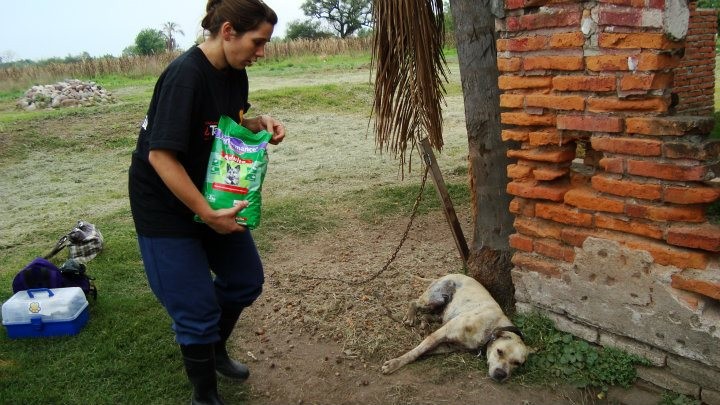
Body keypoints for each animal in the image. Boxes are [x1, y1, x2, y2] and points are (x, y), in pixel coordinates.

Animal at [382, 274, 528, 380]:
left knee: (429, 315)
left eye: (517, 363)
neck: (491, 326)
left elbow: (423, 352)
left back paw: (424, 323)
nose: (501, 375)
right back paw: (410, 317)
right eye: (499, 351)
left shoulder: (448, 346)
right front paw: (395, 363)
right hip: (436, 298)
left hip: (440, 309)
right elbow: (417, 351)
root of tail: (447, 274)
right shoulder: (441, 334)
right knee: (414, 302)